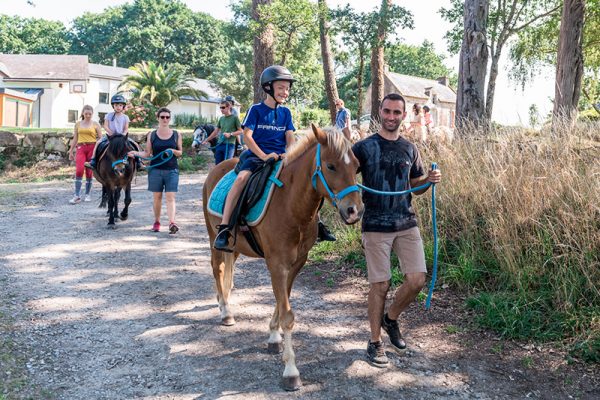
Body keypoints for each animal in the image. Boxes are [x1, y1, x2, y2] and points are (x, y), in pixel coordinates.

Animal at [202, 124, 364, 390]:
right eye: (330, 166)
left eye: (357, 166)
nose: (354, 211)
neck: (291, 205)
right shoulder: (277, 264)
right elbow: (287, 313)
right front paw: (290, 371)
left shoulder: (296, 263)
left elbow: (281, 301)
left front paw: (273, 338)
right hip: (213, 237)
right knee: (218, 269)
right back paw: (225, 312)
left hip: (236, 248)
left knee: (228, 273)